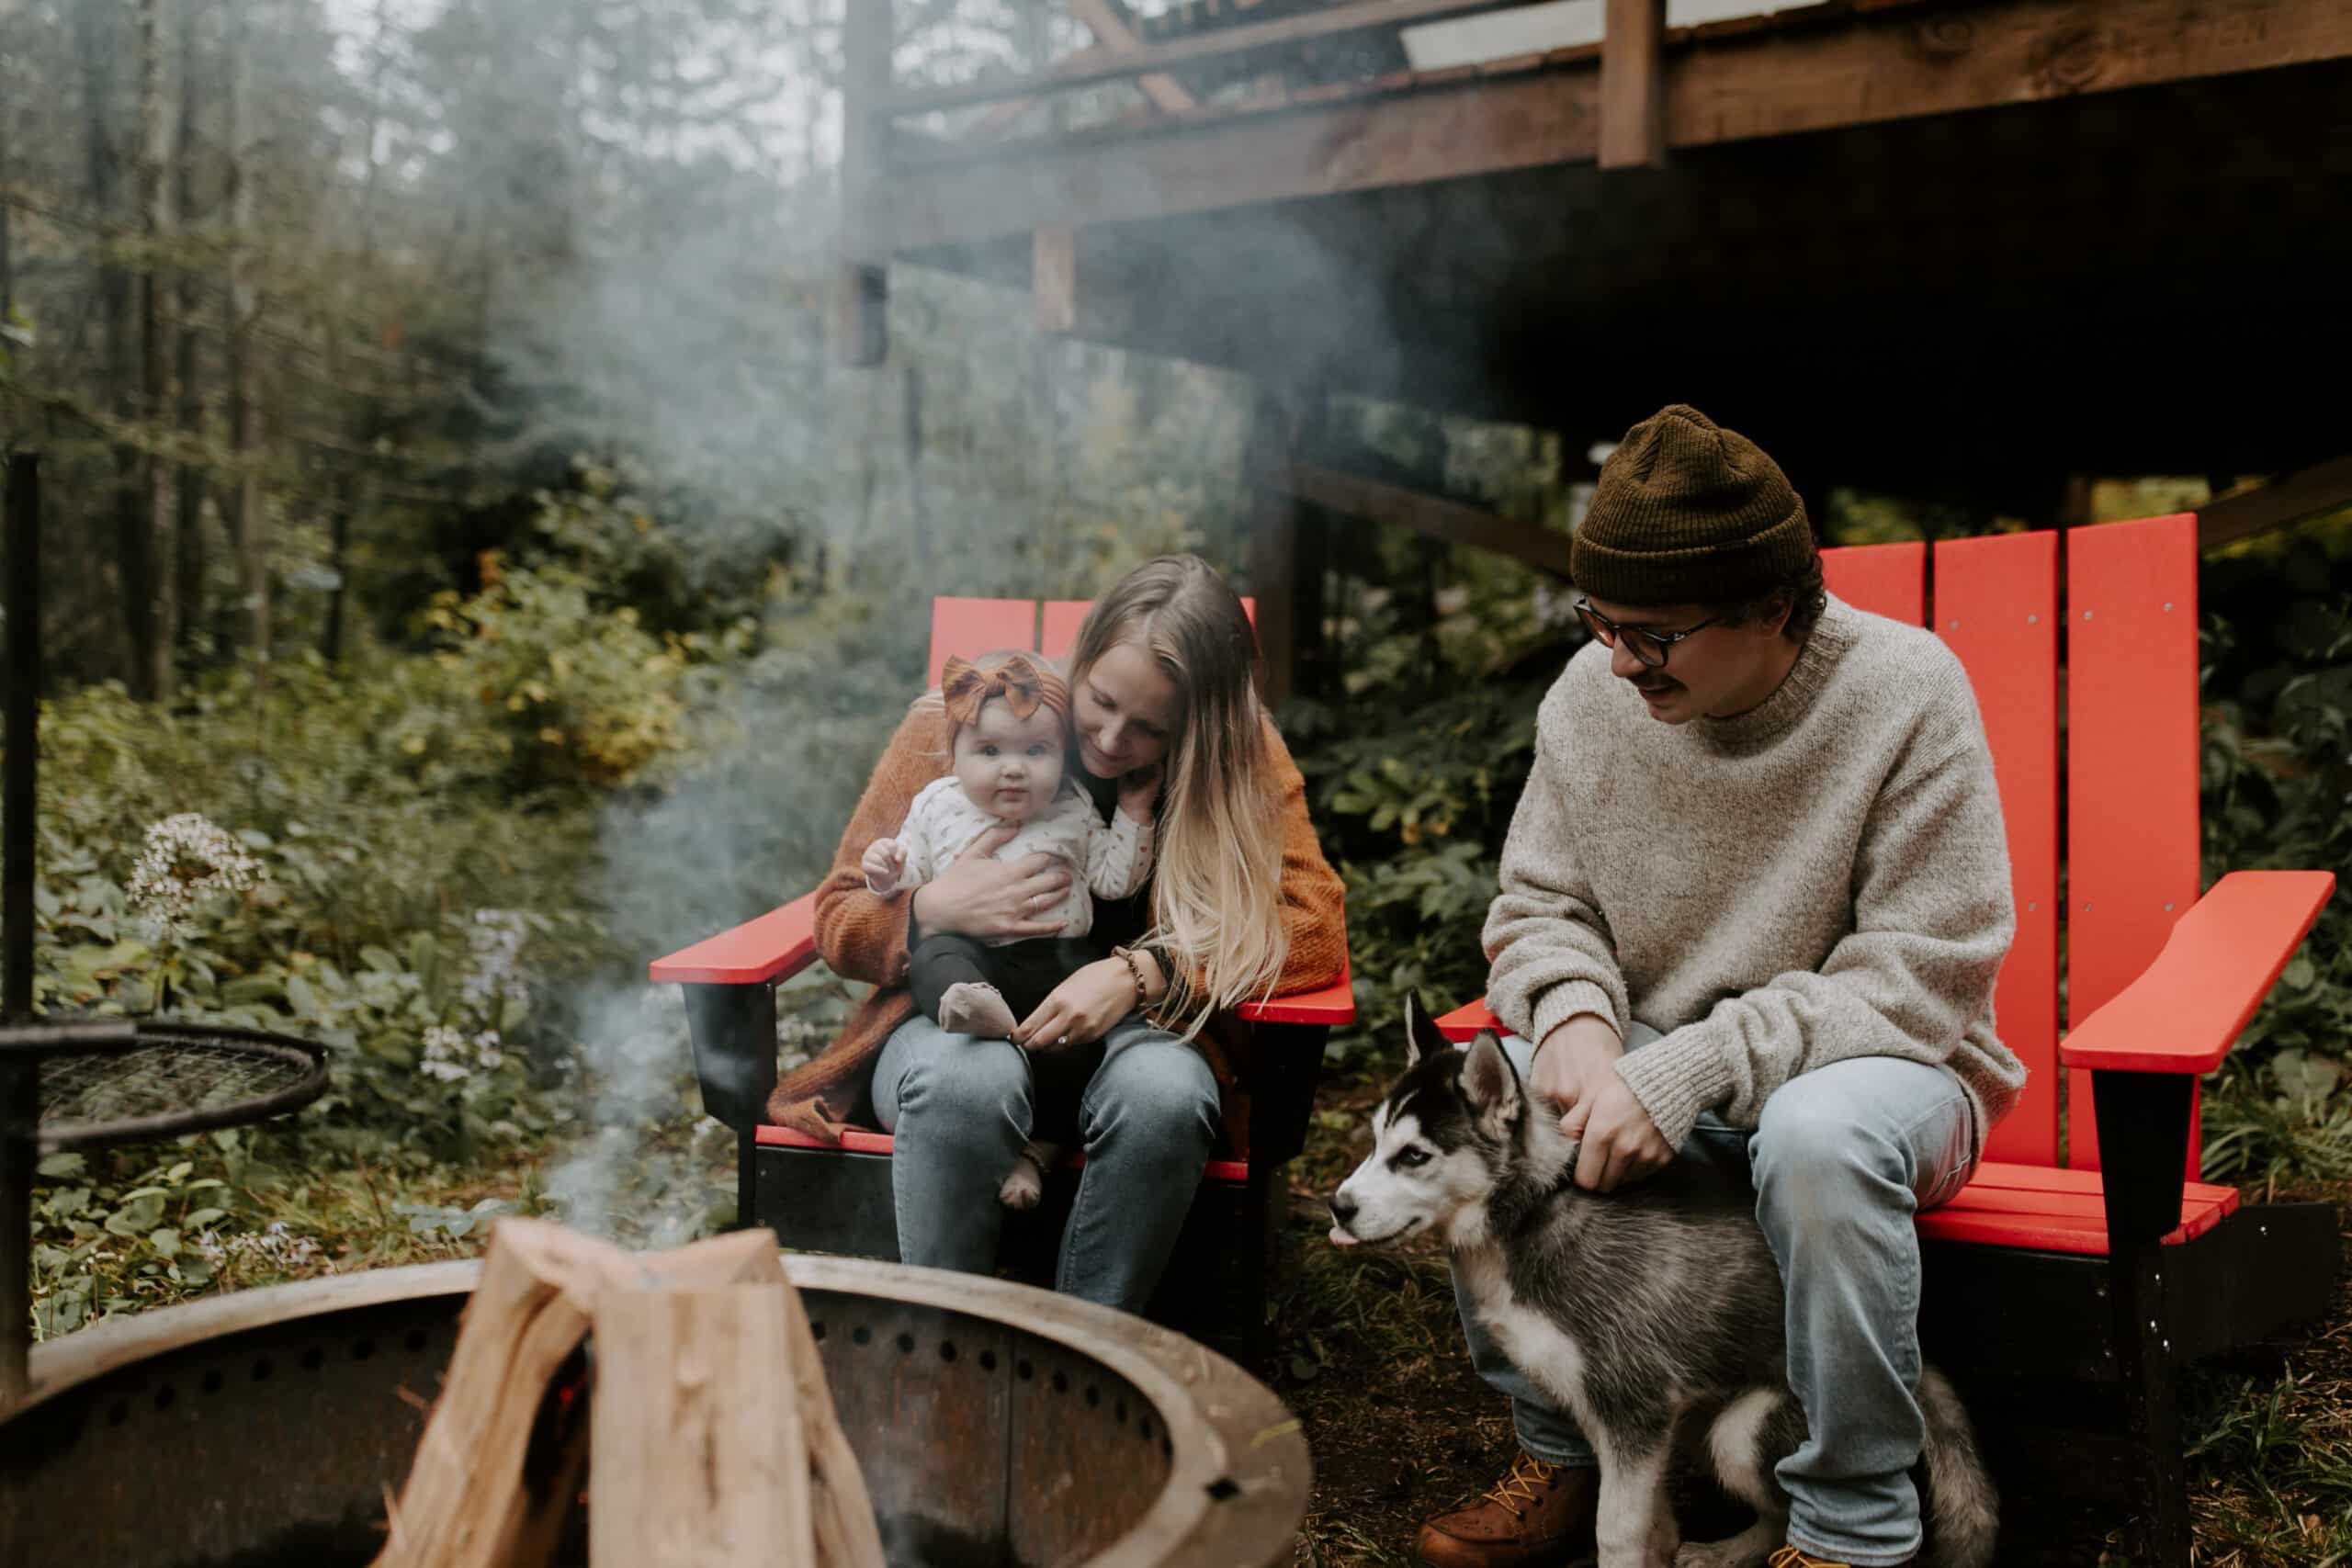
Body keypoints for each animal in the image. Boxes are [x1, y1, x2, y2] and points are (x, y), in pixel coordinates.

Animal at [1336, 1001, 1994, 1568]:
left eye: (1415, 1156)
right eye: (1374, 1143)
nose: (1338, 1207)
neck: (1533, 1213)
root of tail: (1919, 1368)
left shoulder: (1633, 1409)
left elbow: (1615, 1530)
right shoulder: (1613, 1416)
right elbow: (1647, 1519)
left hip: (1741, 1431)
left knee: (1783, 1510)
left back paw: (1734, 1550)